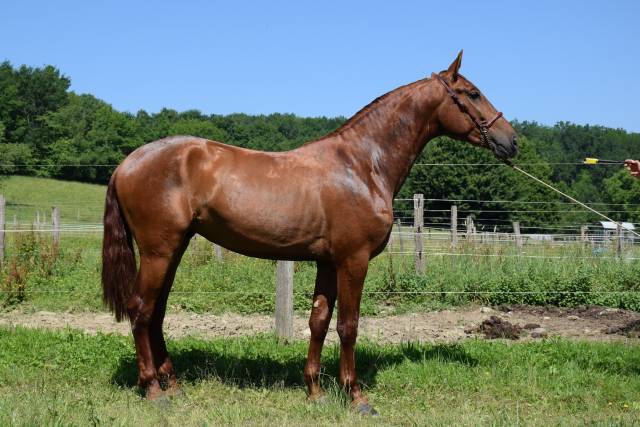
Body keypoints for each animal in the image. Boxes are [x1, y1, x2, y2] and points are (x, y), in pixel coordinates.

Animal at [102, 50, 517, 415]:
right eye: (473, 93)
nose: (511, 140)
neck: (362, 165)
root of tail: (127, 163)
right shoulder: (354, 260)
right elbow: (348, 326)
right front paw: (356, 397)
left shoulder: (328, 263)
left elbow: (318, 321)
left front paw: (315, 392)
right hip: (158, 251)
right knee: (141, 310)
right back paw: (154, 390)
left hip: (174, 249)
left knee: (156, 313)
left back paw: (173, 385)